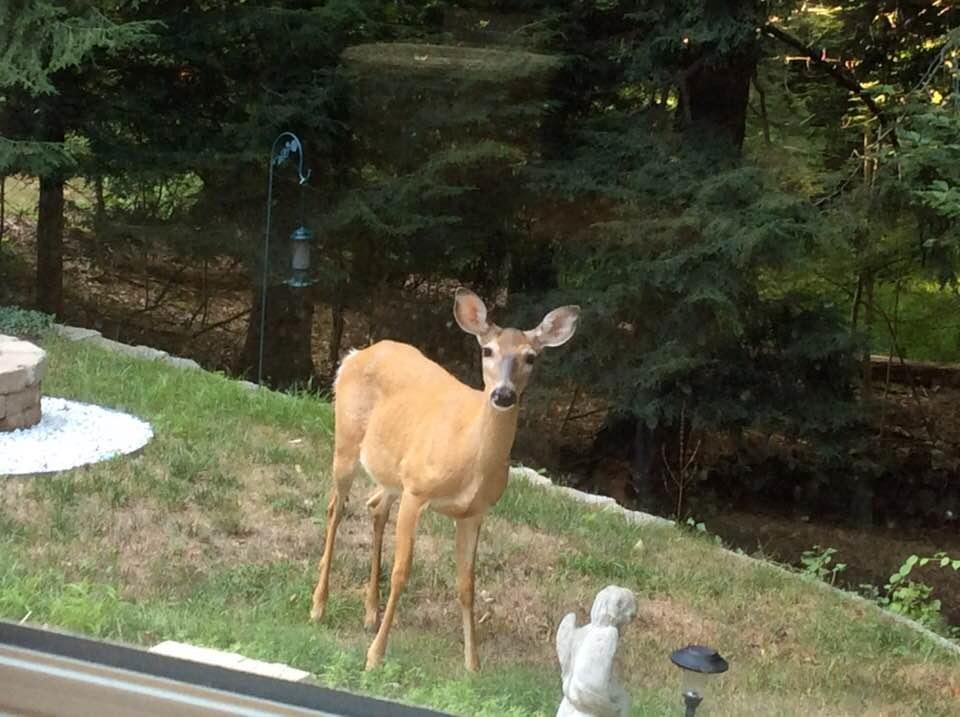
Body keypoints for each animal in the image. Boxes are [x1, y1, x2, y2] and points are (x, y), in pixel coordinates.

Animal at [309, 288, 580, 671]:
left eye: (531, 357)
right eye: (487, 350)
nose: (503, 394)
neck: (470, 458)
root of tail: (354, 355)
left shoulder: (475, 512)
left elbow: (467, 584)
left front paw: (472, 664)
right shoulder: (417, 490)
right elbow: (401, 572)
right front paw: (375, 655)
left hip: (392, 471)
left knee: (375, 506)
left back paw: (370, 613)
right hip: (347, 439)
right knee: (336, 507)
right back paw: (319, 606)